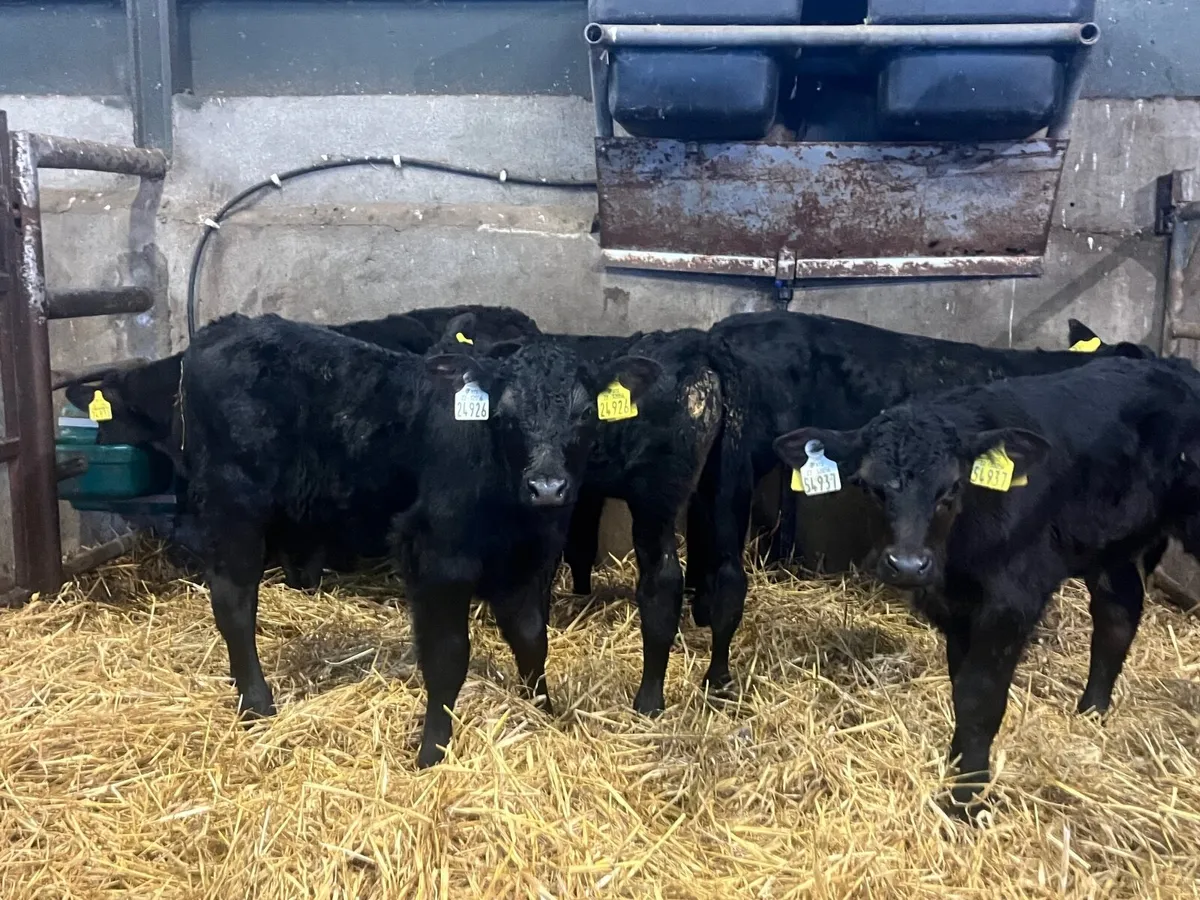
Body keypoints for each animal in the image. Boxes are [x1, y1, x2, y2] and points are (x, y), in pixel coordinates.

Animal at [178, 313, 659, 767]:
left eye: (586, 414)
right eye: (505, 416)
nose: (547, 487)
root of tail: (224, 328)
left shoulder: (523, 560)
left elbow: (531, 639)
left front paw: (542, 712)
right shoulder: (437, 557)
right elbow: (448, 656)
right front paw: (433, 751)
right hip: (232, 501)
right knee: (234, 602)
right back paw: (257, 705)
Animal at [435, 313, 723, 715]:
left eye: (586, 412)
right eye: (506, 414)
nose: (546, 487)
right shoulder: (582, 491)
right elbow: (580, 546)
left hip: (657, 496)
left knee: (662, 582)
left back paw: (649, 700)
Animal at [772, 355, 1200, 816]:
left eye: (952, 488)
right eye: (868, 487)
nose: (907, 565)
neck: (959, 553)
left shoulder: (1012, 600)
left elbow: (981, 696)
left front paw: (965, 801)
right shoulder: (956, 607)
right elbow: (962, 689)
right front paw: (959, 772)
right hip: (1112, 546)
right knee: (1117, 614)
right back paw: (1091, 713)